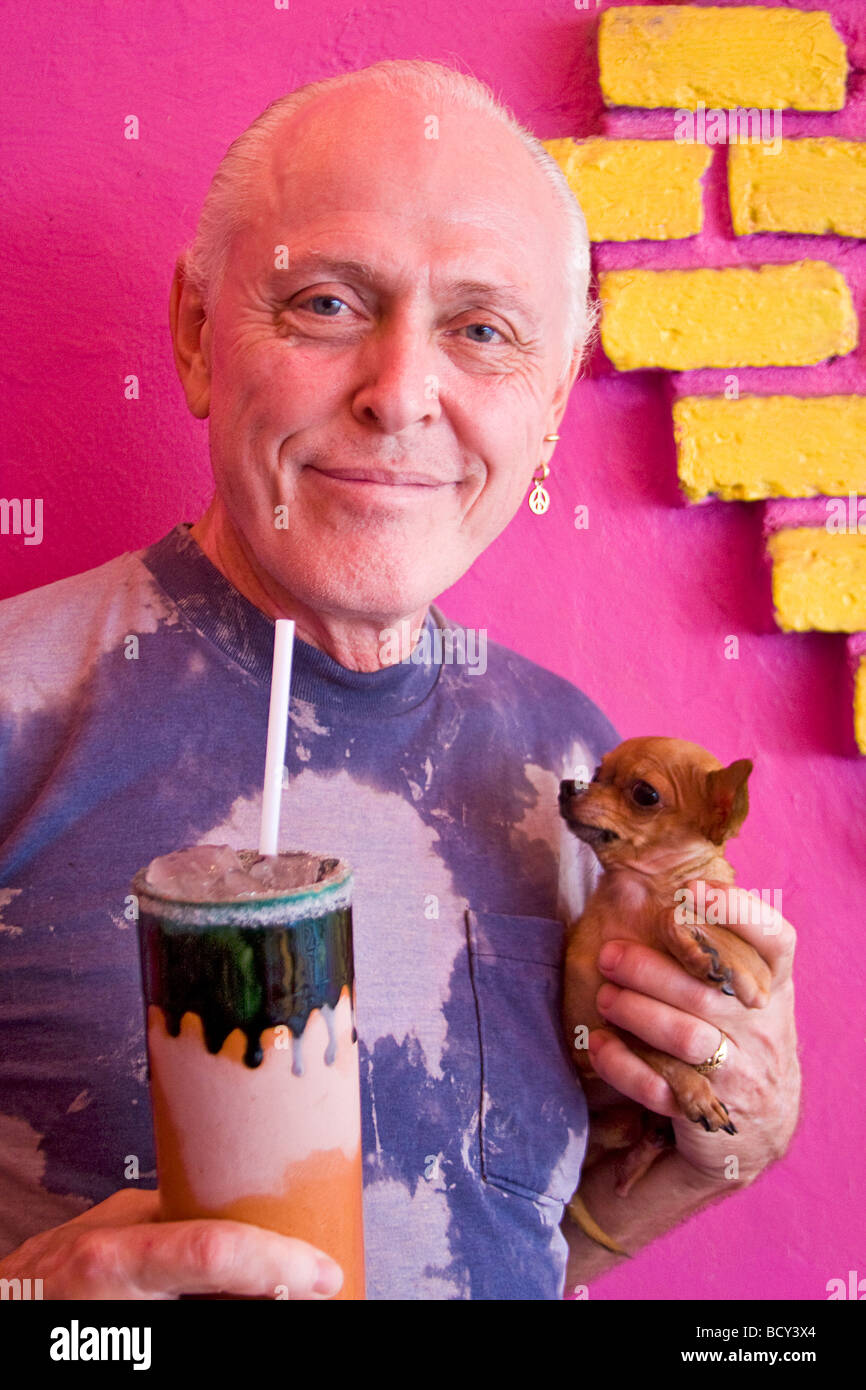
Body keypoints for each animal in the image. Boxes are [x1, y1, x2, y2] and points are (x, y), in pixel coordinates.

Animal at [558, 733, 767, 1245]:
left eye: (645, 794)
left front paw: (695, 951)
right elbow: (662, 1054)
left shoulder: (754, 967)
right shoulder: (598, 1031)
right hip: (614, 1122)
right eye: (597, 773)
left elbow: (679, 913)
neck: (636, 896)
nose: (568, 785)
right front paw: (696, 1091)